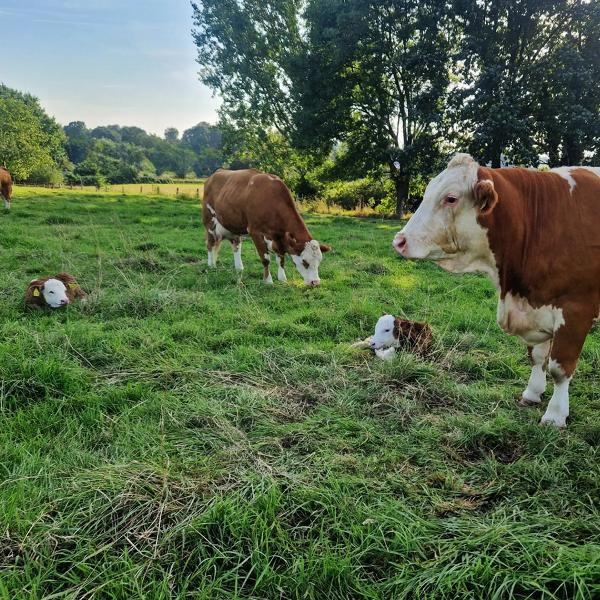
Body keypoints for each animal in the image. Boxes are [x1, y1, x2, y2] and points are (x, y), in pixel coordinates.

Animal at [394, 154, 600, 426]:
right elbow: (537, 356)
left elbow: (560, 367)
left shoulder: (576, 310)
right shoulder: (539, 304)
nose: (399, 241)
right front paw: (532, 393)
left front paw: (555, 415)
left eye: (451, 198)